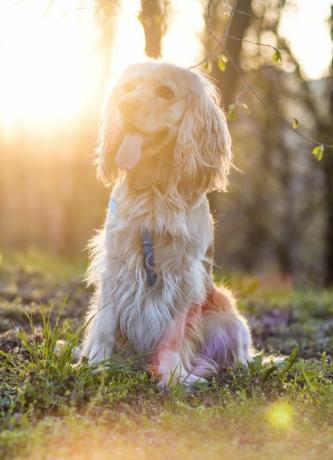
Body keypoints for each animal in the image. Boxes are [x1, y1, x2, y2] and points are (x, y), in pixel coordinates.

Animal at [81, 61, 252, 384]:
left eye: (166, 92)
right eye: (128, 88)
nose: (126, 104)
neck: (152, 193)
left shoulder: (184, 274)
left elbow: (174, 332)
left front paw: (173, 376)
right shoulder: (114, 264)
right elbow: (104, 323)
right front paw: (97, 364)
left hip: (227, 316)